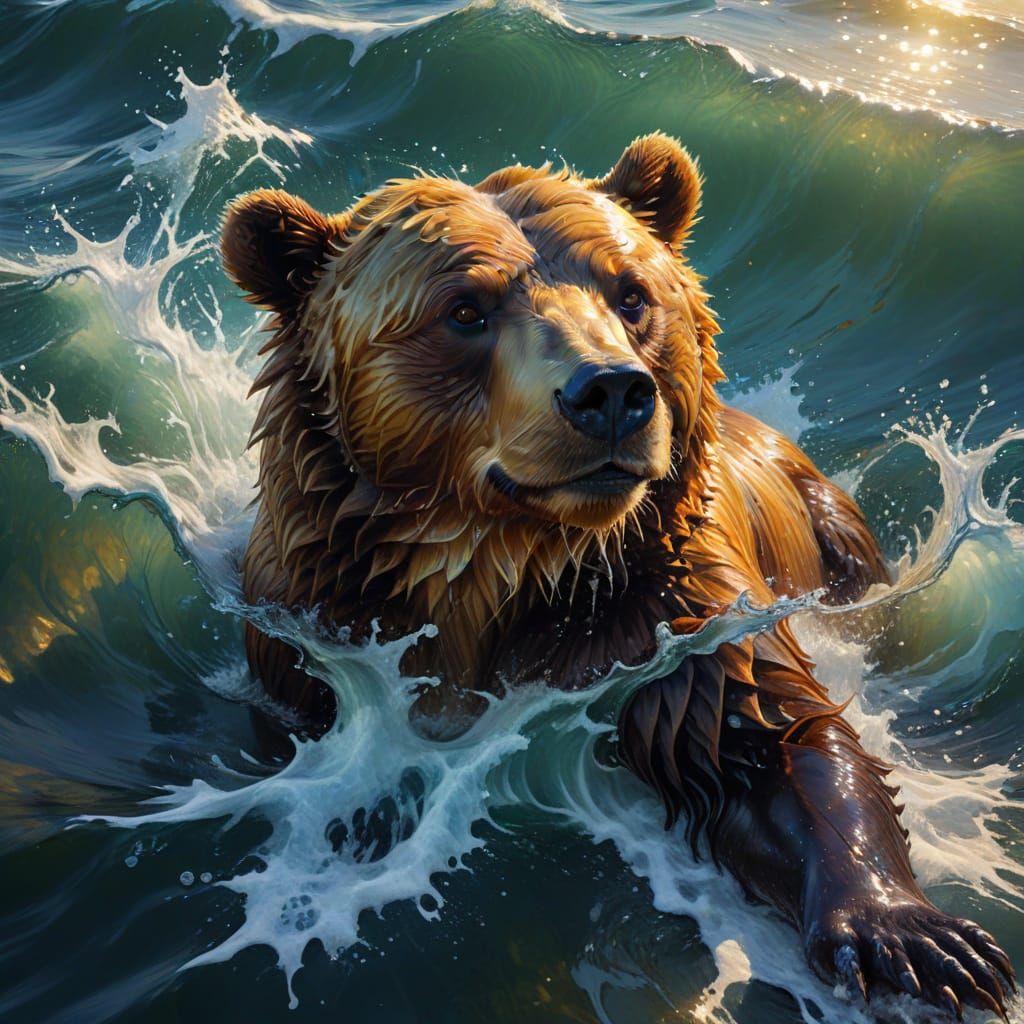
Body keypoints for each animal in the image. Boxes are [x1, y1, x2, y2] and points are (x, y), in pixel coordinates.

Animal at [221, 134, 1014, 1017]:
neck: (503, 568)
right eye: (464, 309)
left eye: (632, 294)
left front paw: (919, 939)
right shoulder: (311, 625)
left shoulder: (676, 618)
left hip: (834, 536)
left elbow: (773, 743)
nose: (610, 391)